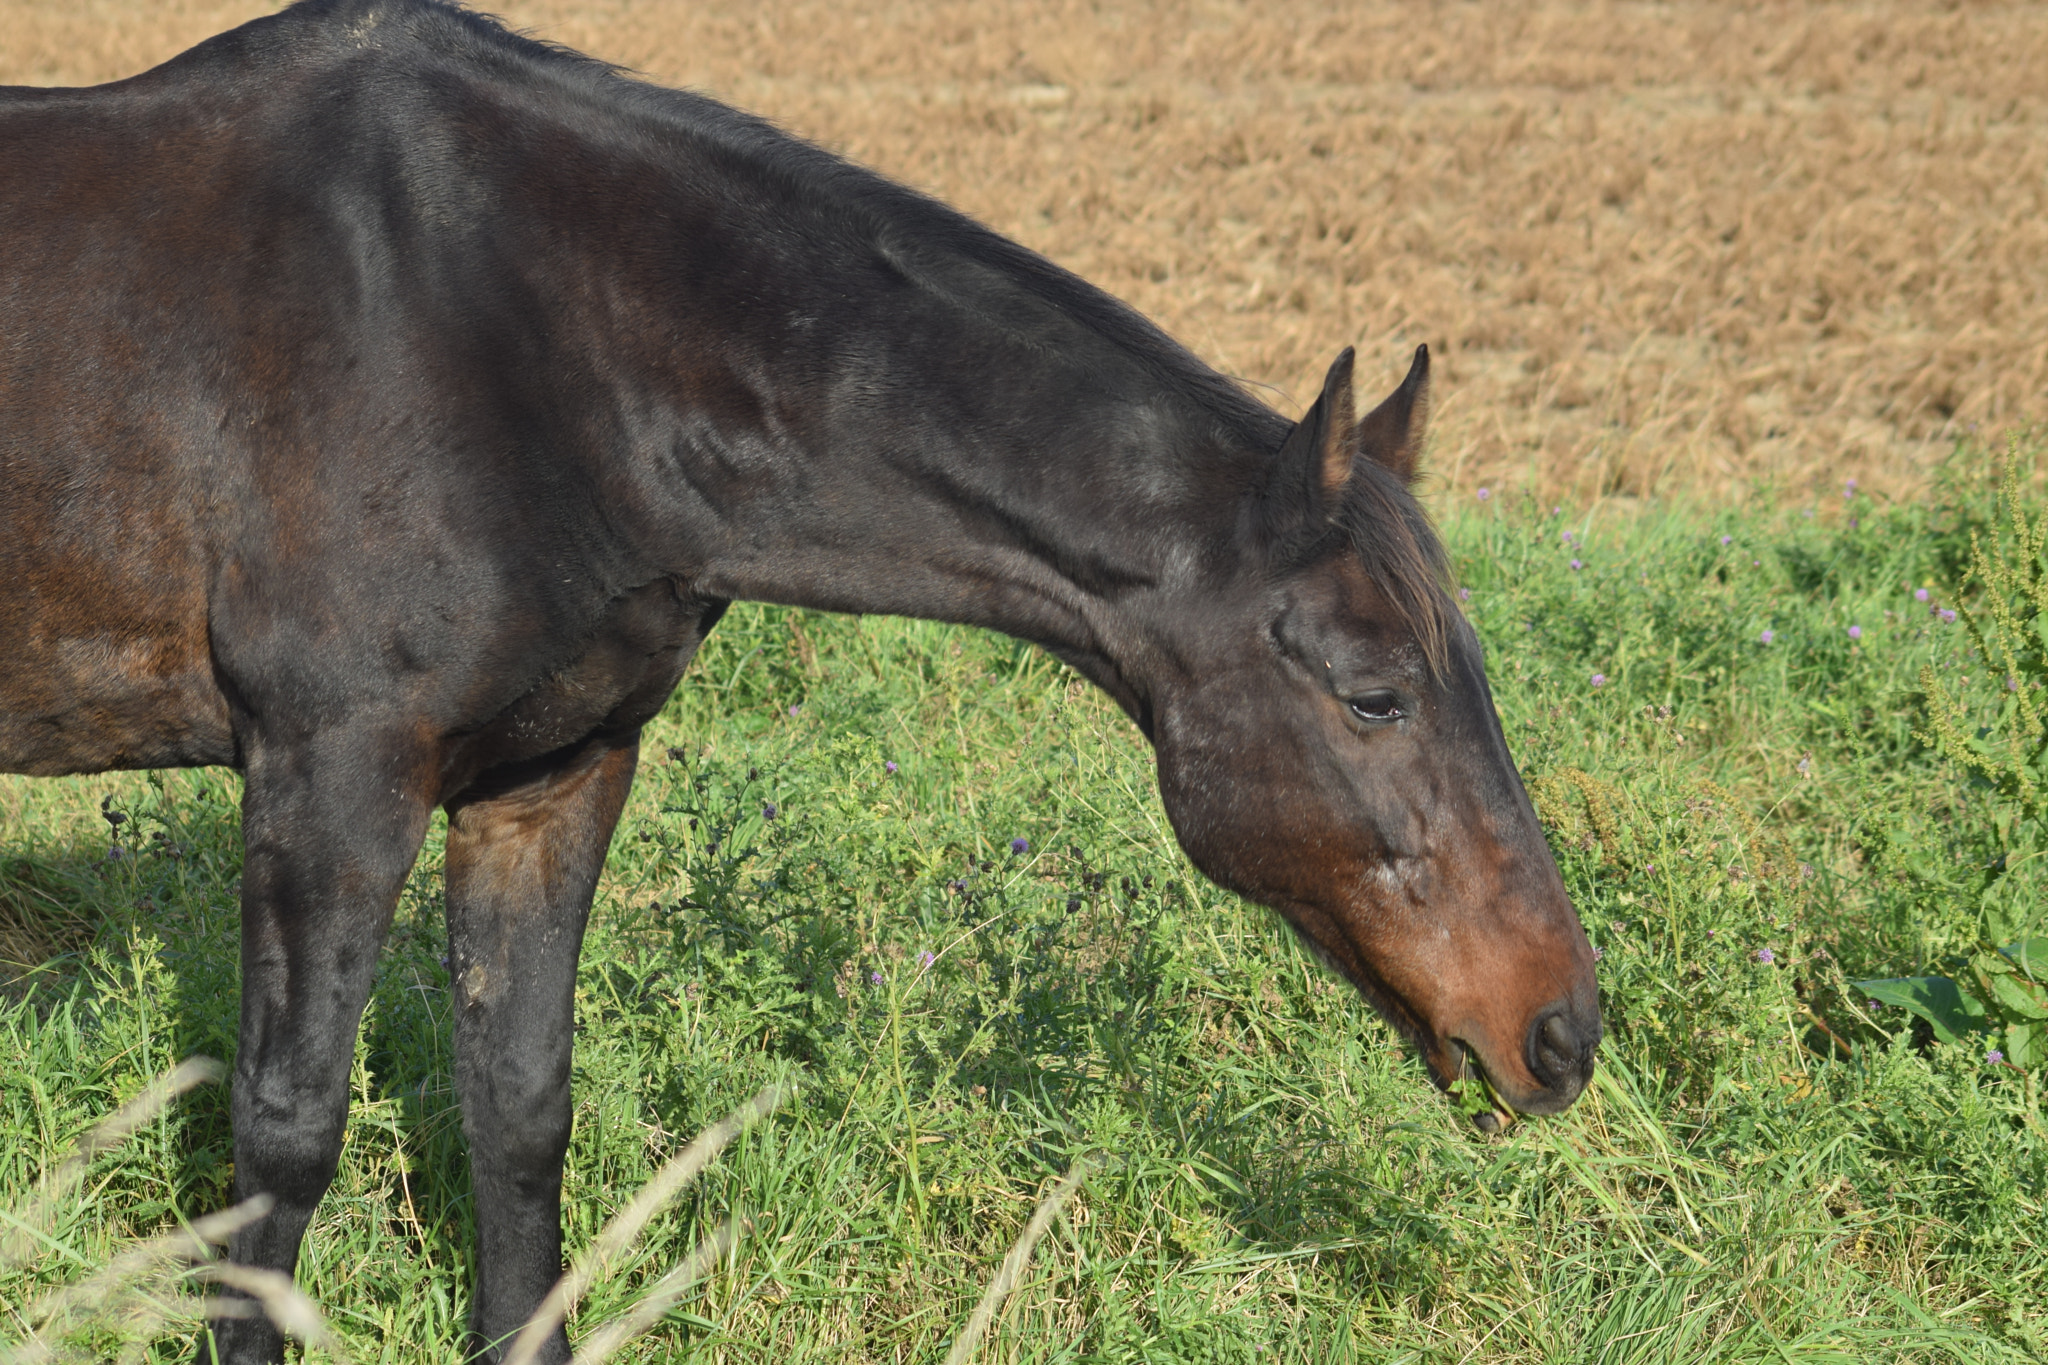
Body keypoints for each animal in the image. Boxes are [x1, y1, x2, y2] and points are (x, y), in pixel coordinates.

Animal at [0, 2, 1597, 1358]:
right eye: (1375, 693)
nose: (1564, 1031)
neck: (520, 338)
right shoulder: (330, 777)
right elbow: (282, 1138)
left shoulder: (554, 774)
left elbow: (517, 1105)